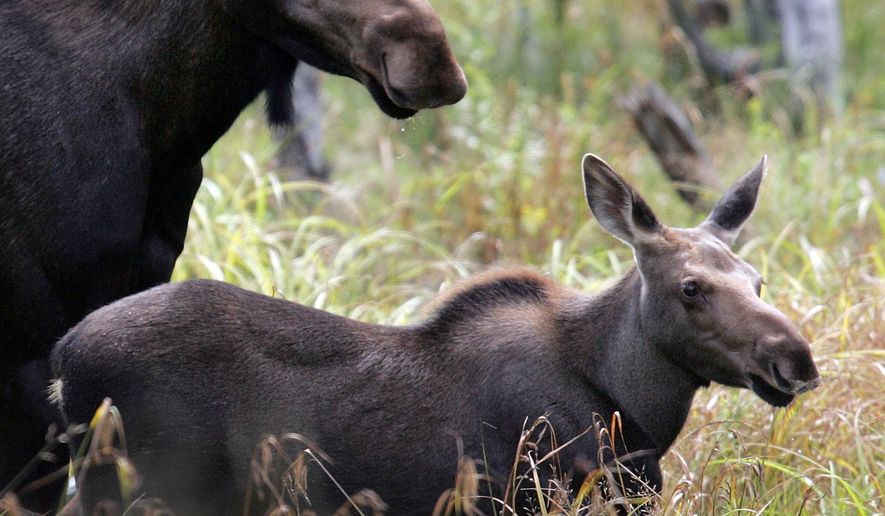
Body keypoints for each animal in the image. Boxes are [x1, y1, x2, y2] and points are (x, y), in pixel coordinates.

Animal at [51, 154, 820, 515]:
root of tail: (63, 358)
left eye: (756, 279)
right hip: (140, 485)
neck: (632, 407)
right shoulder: (533, 493)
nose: (796, 362)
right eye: (691, 287)